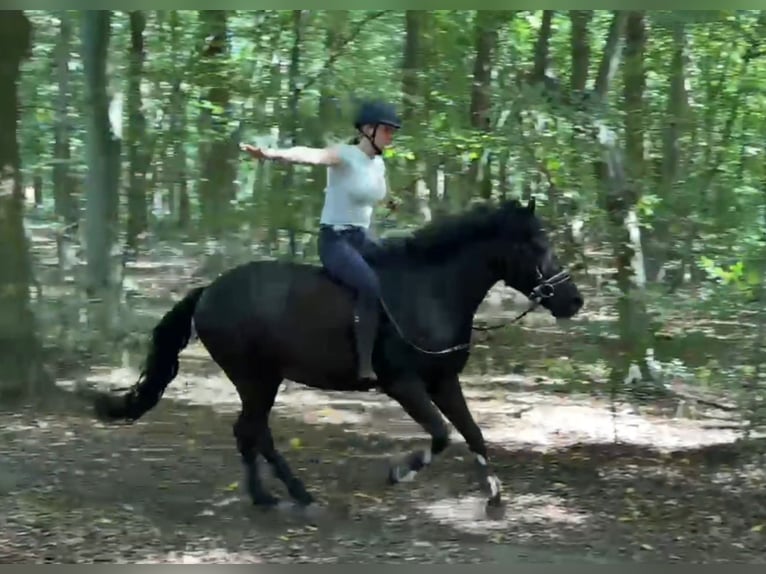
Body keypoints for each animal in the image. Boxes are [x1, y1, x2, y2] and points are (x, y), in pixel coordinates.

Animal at [92, 197, 584, 512]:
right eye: (537, 245)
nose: (574, 301)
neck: (431, 292)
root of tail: (209, 291)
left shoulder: (444, 381)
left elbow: (474, 434)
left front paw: (495, 498)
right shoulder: (404, 385)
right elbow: (442, 435)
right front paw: (400, 473)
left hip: (262, 379)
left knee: (250, 432)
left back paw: (271, 496)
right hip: (256, 377)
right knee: (253, 431)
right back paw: (292, 495)